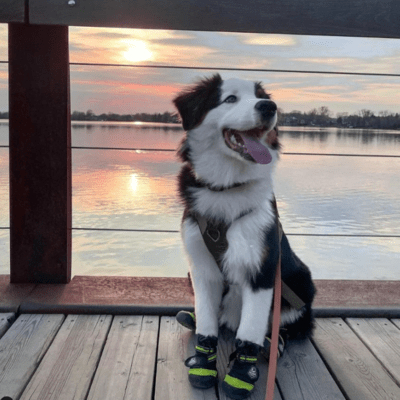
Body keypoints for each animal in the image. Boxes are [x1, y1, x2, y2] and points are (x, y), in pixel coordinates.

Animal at [175, 75, 316, 396]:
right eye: (230, 99)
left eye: (261, 96)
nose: (269, 107)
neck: (227, 187)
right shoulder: (200, 268)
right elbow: (207, 324)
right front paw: (203, 361)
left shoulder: (262, 269)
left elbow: (250, 329)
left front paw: (241, 375)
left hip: (301, 281)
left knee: (289, 325)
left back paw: (272, 341)